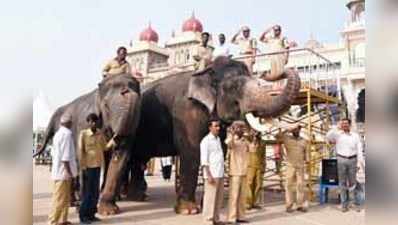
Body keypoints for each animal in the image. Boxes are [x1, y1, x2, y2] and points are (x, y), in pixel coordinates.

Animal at [33, 74, 141, 214]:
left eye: (139, 107)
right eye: (106, 106)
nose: (115, 137)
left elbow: (121, 155)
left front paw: (108, 211)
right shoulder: (83, 124)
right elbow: (83, 158)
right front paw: (84, 208)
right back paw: (73, 203)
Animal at [131, 56, 302, 214]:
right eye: (234, 87)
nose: (267, 74)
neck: (205, 71)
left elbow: (221, 149)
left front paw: (214, 205)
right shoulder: (185, 112)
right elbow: (192, 152)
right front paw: (189, 210)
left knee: (139, 159)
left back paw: (138, 196)